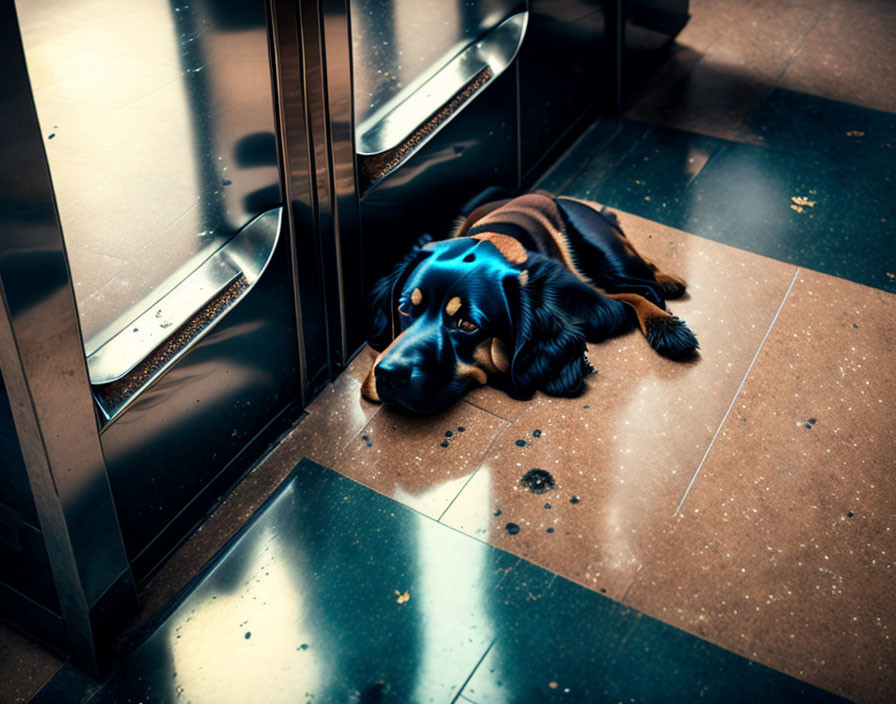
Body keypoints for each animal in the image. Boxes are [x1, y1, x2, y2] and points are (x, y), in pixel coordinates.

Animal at [360, 190, 696, 416]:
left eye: (467, 324)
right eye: (404, 308)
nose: (387, 375)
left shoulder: (593, 302)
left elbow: (632, 300)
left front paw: (666, 326)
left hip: (605, 250)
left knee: (643, 284)